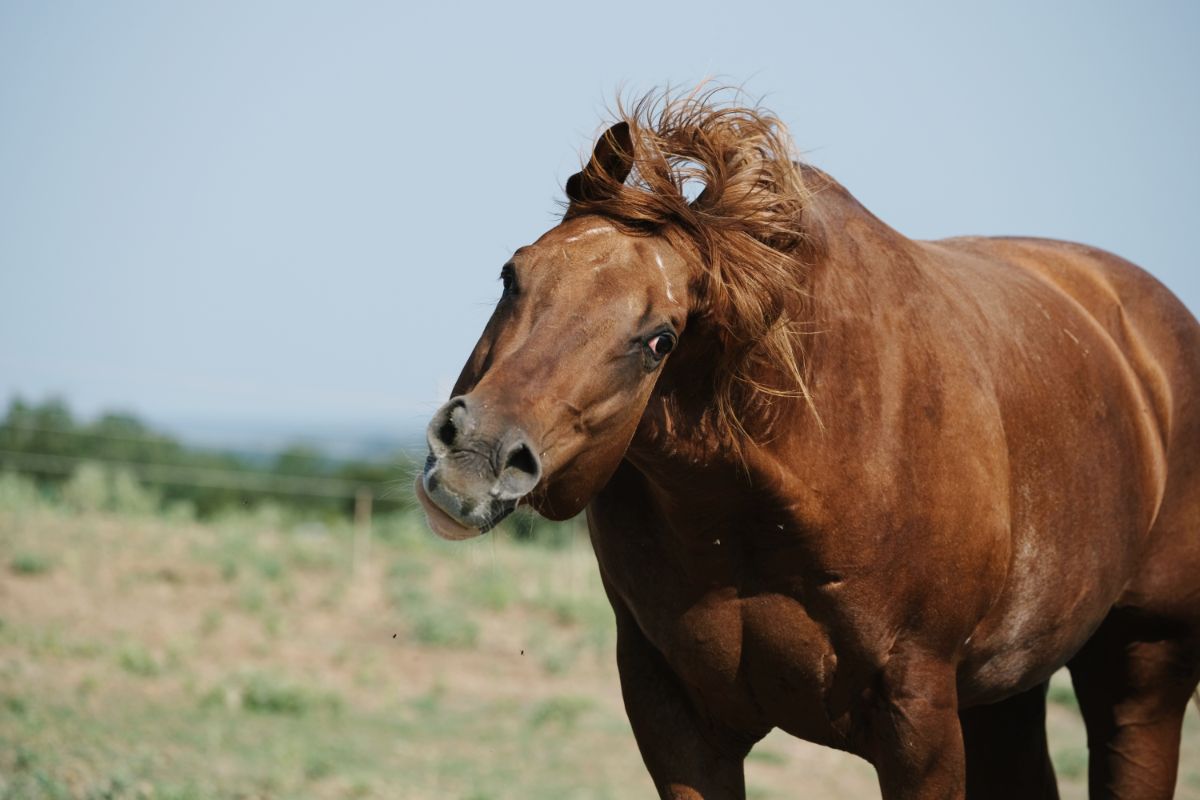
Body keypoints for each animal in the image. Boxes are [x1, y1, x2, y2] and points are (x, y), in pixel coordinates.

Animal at [415, 89, 1200, 800]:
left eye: (659, 340)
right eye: (512, 275)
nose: (474, 458)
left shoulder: (919, 725)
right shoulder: (675, 720)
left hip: (1142, 668)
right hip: (1003, 691)